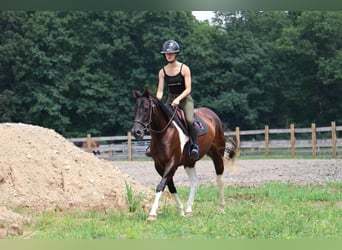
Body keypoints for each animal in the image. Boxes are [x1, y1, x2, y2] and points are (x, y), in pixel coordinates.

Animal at [131, 88, 238, 221]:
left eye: (146, 108)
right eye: (135, 109)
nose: (136, 132)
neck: (165, 133)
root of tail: (211, 114)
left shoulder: (172, 163)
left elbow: (161, 185)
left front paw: (152, 213)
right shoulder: (159, 165)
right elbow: (170, 186)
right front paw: (181, 211)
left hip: (217, 155)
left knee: (220, 179)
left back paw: (222, 208)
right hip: (189, 162)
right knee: (194, 182)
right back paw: (189, 210)